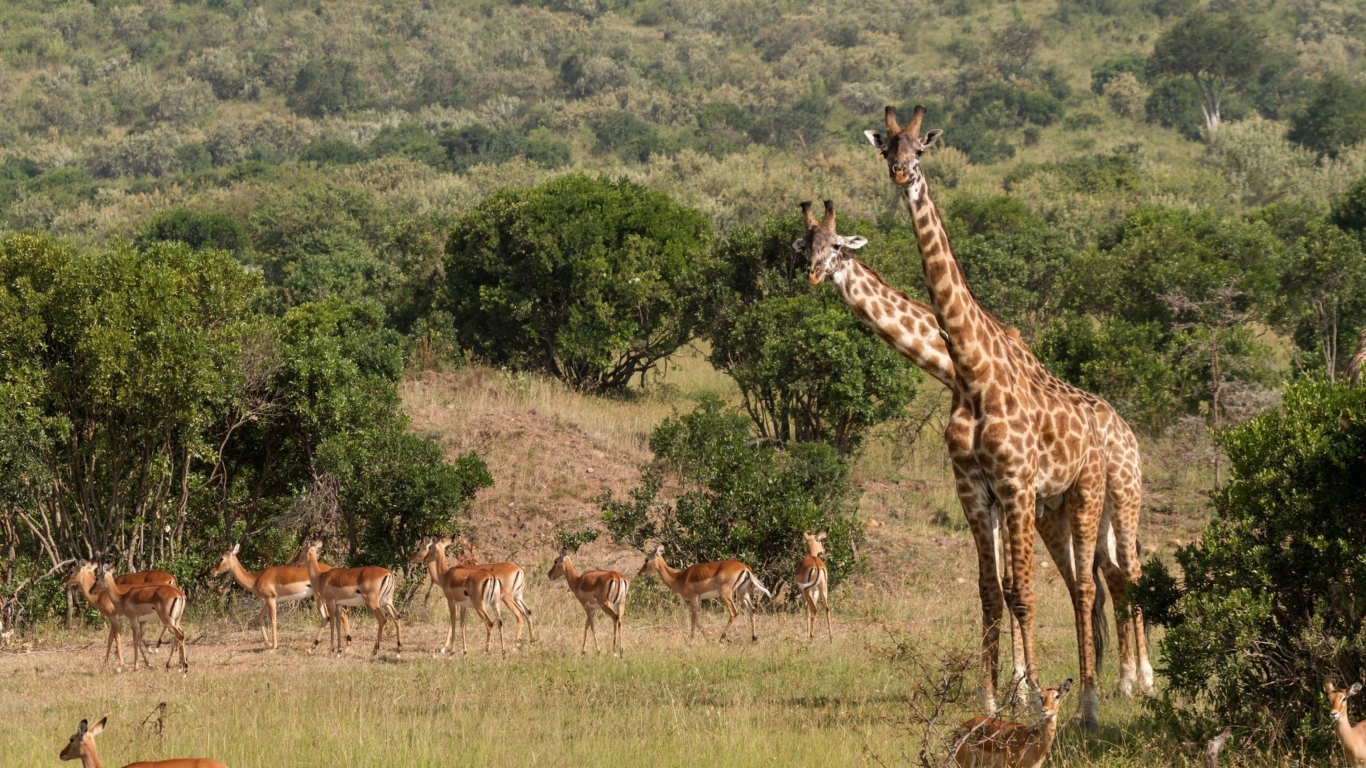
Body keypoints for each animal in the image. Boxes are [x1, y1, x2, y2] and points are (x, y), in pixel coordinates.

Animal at [863, 105, 1141, 721]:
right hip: (1056, 506)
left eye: (921, 151)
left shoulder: (1014, 486)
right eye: (887, 148)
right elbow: (992, 592)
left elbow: (1022, 592)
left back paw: (1097, 700)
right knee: (1089, 583)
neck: (972, 375)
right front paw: (993, 703)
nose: (900, 175)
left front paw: (1033, 699)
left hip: (1092, 494)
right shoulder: (974, 490)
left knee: (1097, 583)